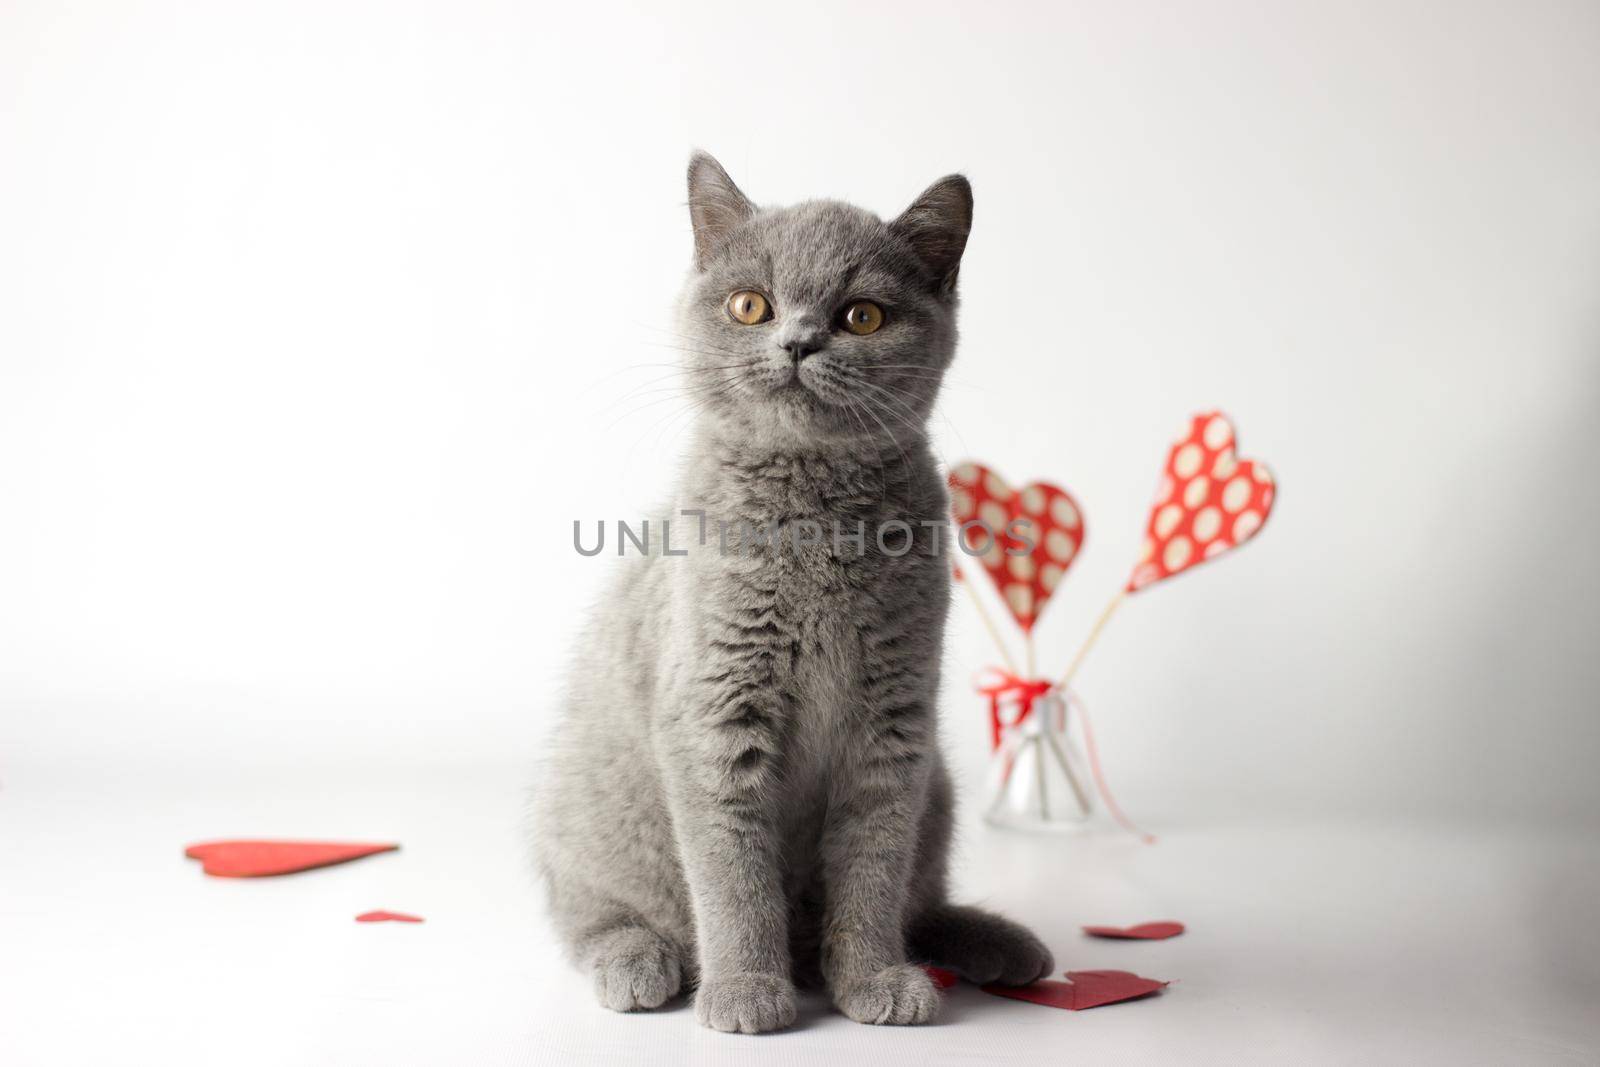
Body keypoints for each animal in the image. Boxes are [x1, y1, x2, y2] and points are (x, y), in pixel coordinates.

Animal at [531, 151, 1056, 1036]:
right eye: (751, 305)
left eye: (863, 316)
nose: (799, 341)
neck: (814, 512)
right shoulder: (714, 711)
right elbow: (732, 872)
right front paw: (746, 987)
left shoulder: (893, 723)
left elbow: (874, 864)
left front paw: (872, 975)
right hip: (592, 810)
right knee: (587, 913)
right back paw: (640, 962)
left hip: (939, 787)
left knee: (917, 901)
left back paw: (991, 945)